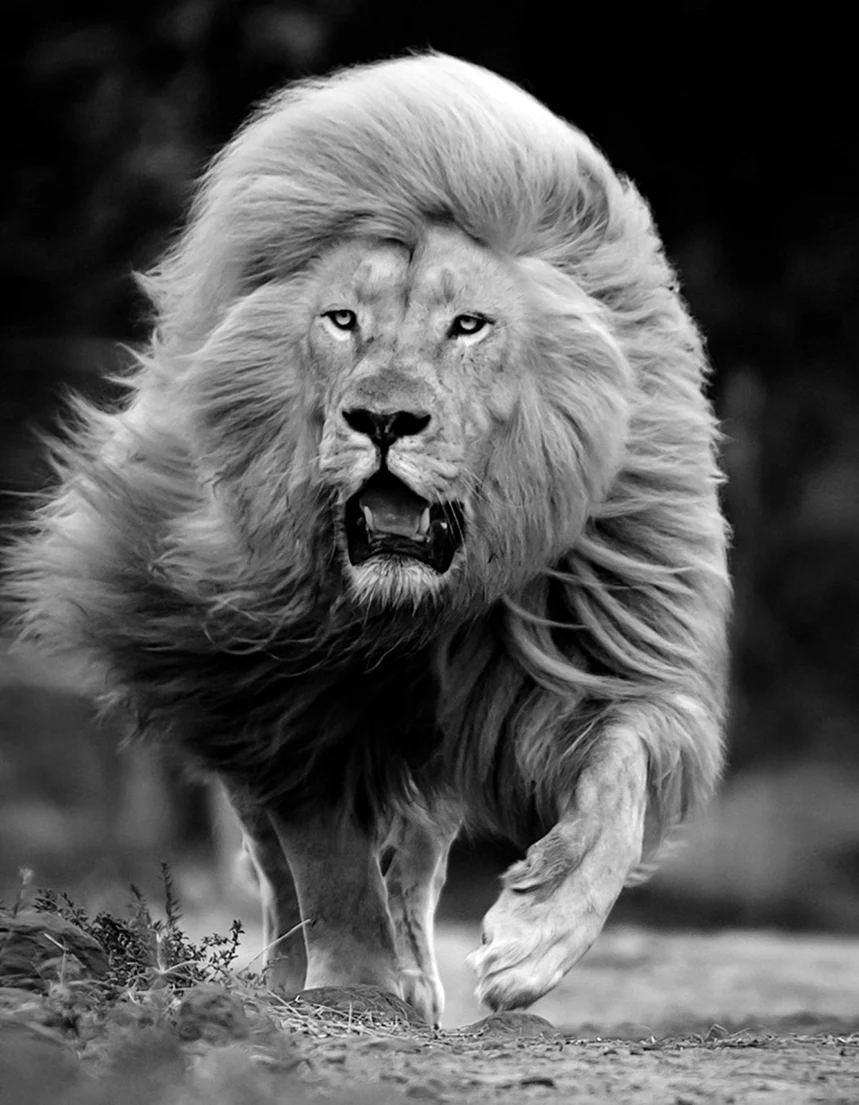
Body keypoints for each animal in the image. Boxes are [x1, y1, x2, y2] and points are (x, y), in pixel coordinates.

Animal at [6, 53, 730, 1025]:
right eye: (343, 319)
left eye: (468, 324)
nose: (383, 419)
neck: (406, 612)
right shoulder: (279, 689)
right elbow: (326, 861)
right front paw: (352, 985)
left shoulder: (598, 641)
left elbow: (617, 785)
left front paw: (533, 942)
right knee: (276, 861)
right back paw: (293, 973)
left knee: (416, 859)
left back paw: (418, 970)